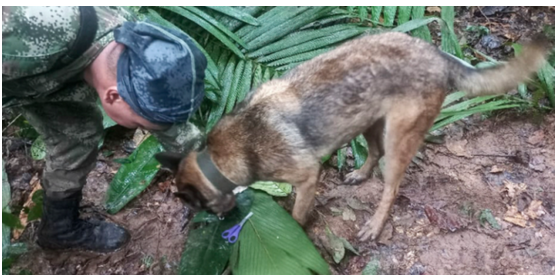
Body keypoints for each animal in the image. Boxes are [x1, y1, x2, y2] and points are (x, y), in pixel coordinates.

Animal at [155, 31, 548, 241]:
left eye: (196, 205)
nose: (220, 221)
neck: (221, 157)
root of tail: (437, 54)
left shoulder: (307, 177)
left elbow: (297, 214)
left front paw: (294, 231)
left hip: (397, 138)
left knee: (391, 187)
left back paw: (374, 224)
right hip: (368, 122)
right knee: (372, 154)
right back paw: (360, 174)